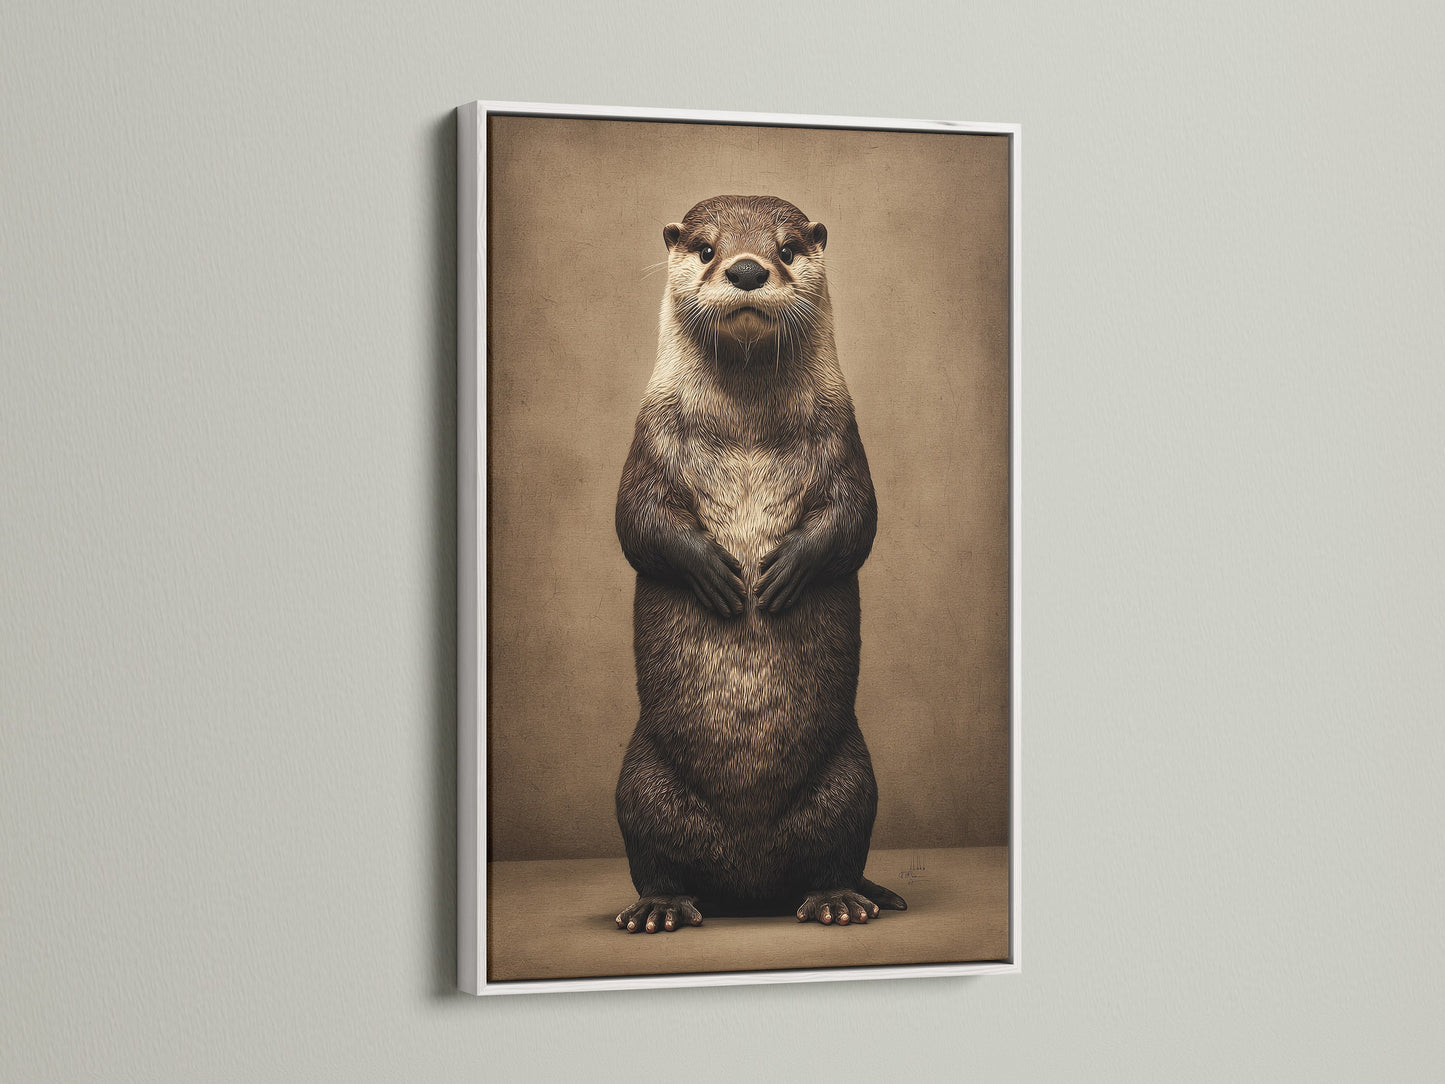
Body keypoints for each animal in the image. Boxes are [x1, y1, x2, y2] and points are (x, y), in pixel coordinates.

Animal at [613, 195, 906, 934]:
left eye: (788, 248)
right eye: (707, 248)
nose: (747, 270)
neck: (744, 428)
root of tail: (748, 887)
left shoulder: (843, 437)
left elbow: (857, 520)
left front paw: (785, 570)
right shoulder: (648, 439)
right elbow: (636, 522)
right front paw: (715, 572)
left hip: (852, 778)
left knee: (838, 850)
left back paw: (840, 900)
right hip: (639, 781)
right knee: (652, 855)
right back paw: (659, 907)